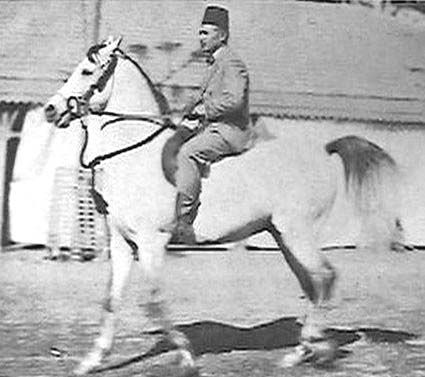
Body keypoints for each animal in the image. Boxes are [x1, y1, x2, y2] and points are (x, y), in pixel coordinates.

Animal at [44, 36, 404, 374]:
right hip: (282, 236)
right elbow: (111, 301)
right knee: (312, 284)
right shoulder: (123, 243)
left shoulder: (151, 242)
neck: (135, 155)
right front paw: (91, 361)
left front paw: (187, 358)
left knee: (325, 278)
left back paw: (319, 348)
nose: (50, 109)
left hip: (297, 233)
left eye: (86, 71)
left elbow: (155, 302)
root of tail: (324, 150)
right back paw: (299, 352)